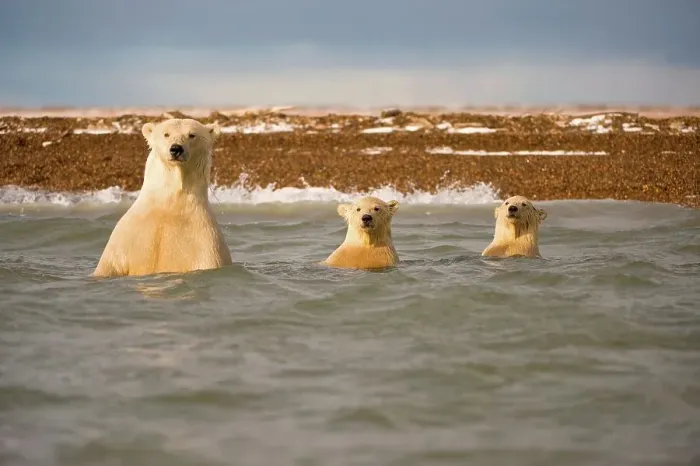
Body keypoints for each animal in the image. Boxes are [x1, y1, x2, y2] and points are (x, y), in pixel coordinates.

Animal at [93, 118, 232, 277]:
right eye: (166, 134)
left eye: (192, 135)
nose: (176, 149)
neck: (170, 203)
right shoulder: (126, 238)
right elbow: (109, 265)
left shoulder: (205, 244)